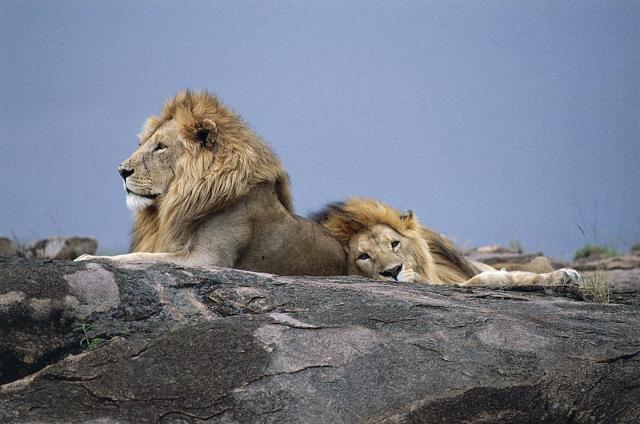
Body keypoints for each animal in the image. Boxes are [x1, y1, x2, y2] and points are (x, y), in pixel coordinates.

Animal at [77, 89, 348, 274]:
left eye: (160, 147)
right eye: (142, 143)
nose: (121, 171)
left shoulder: (208, 259)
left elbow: (137, 257)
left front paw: (85, 258)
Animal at [312, 199, 584, 288]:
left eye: (395, 244)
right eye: (363, 257)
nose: (392, 272)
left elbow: (524, 275)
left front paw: (564, 275)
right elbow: (478, 281)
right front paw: (502, 279)